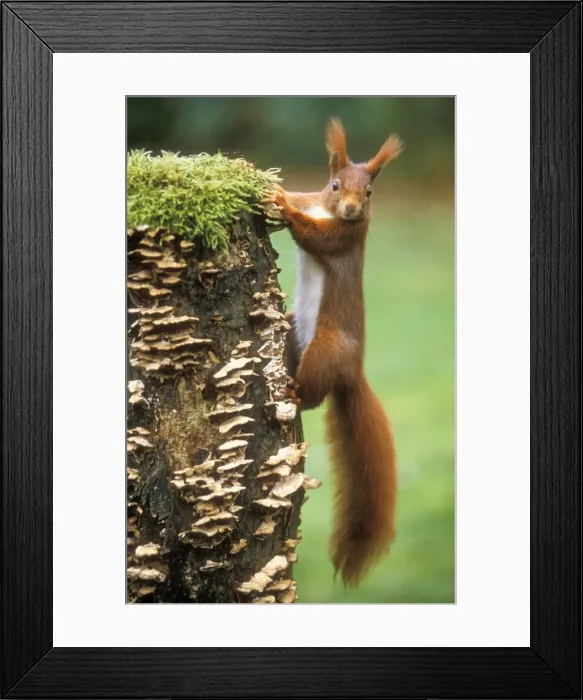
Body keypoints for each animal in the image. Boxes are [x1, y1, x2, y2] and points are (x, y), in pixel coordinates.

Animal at [264, 118, 404, 586]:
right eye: (335, 184)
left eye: (370, 192)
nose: (351, 209)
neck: (328, 211)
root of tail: (353, 371)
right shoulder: (316, 200)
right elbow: (300, 201)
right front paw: (278, 192)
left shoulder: (346, 237)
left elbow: (316, 238)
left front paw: (284, 210)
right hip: (294, 330)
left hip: (326, 350)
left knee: (313, 395)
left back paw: (294, 394)